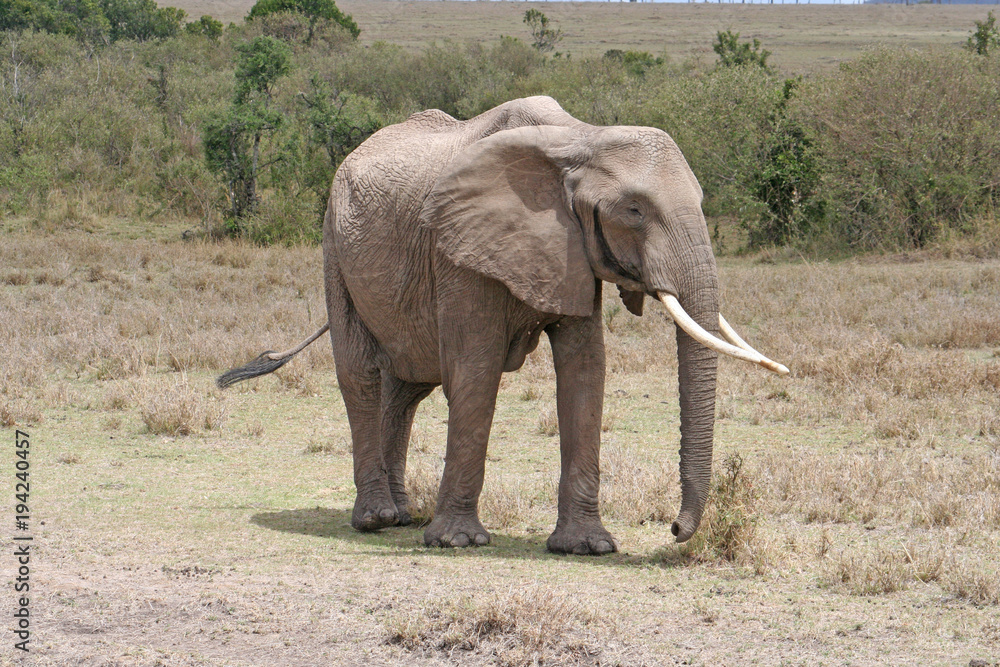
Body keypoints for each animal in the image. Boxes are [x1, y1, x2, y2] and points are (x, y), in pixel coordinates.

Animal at [218, 96, 787, 555]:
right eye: (634, 210)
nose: (673, 529)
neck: (577, 138)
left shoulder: (572, 252)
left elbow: (585, 372)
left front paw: (587, 547)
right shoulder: (459, 251)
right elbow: (476, 371)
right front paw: (457, 542)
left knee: (406, 388)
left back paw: (404, 516)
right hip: (334, 246)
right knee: (360, 374)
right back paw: (376, 520)